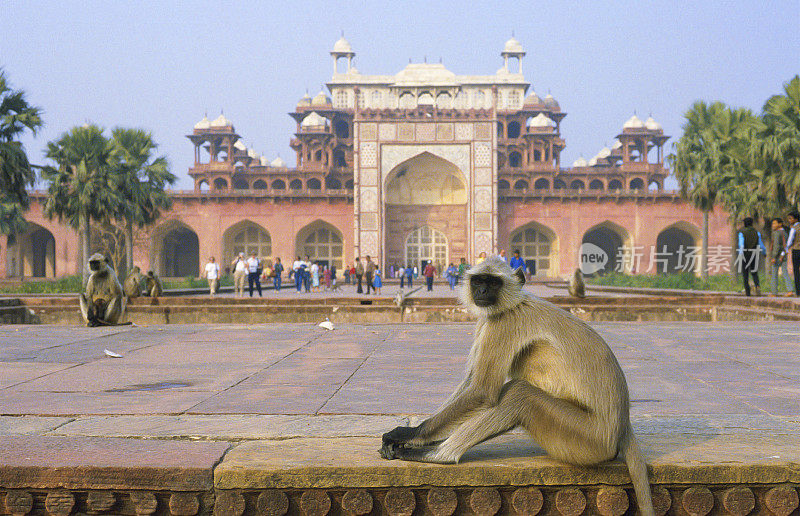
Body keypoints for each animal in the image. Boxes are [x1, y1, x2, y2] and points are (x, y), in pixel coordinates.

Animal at [378, 256, 652, 516]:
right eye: (479, 281)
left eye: (493, 282)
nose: (482, 291)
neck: (514, 302)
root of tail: (622, 425)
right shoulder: (488, 321)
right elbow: (470, 382)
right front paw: (416, 439)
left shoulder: (504, 323)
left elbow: (482, 392)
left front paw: (409, 434)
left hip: (588, 438)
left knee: (520, 393)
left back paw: (440, 456)